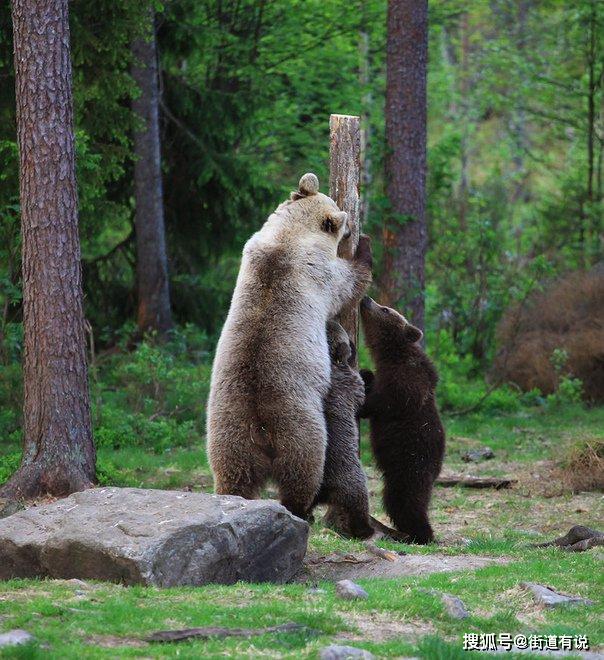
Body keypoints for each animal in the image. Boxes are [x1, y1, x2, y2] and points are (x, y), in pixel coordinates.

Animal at [205, 174, 370, 520]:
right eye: (342, 218)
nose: (350, 230)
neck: (291, 233)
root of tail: (260, 429)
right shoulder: (319, 272)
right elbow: (348, 283)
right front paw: (365, 249)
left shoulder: (253, 248)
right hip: (298, 423)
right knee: (303, 468)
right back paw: (301, 509)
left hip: (228, 429)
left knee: (232, 471)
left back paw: (231, 499)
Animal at [358, 296, 444, 544]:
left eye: (386, 309)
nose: (366, 299)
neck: (390, 354)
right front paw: (365, 373)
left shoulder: (406, 382)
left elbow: (383, 404)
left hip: (410, 466)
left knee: (403, 502)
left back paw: (419, 534)